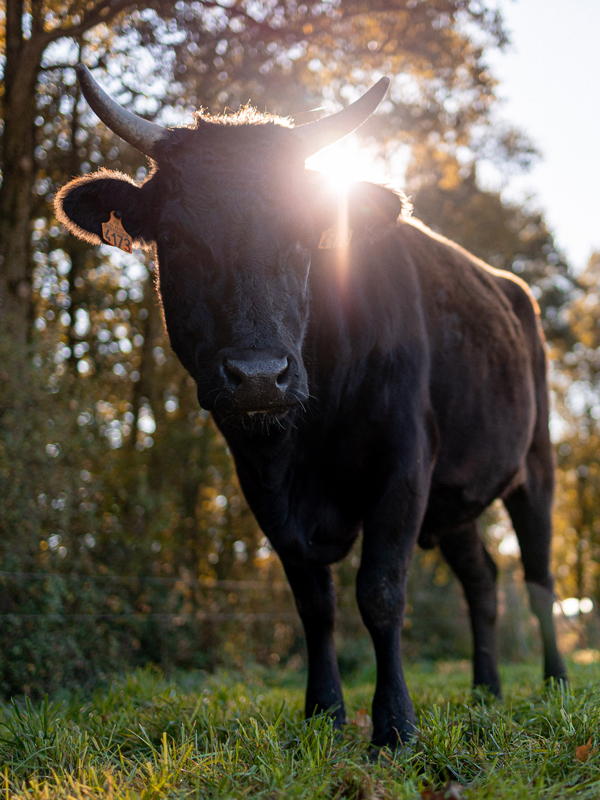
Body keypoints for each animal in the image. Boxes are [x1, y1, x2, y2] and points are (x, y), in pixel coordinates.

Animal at [56, 65, 568, 748]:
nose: (258, 377)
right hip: (455, 499)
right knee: (483, 581)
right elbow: (314, 603)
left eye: (304, 236)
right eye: (179, 238)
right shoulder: (260, 480)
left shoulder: (404, 462)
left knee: (538, 580)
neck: (302, 442)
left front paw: (394, 725)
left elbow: (380, 592)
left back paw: (554, 685)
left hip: (535, 466)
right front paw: (324, 713)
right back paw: (486, 691)